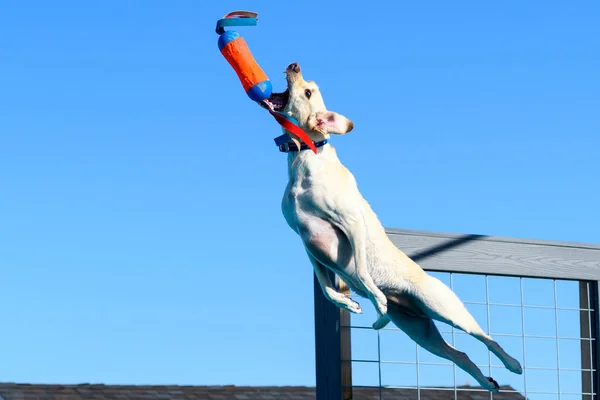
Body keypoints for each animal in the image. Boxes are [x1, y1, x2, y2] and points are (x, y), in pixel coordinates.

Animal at [264, 61, 524, 390]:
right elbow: (327, 289)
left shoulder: (351, 223)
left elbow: (362, 272)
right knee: (460, 355)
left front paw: (375, 297)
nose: (294, 65)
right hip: (419, 331)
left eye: (308, 91)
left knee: (486, 338)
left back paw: (513, 364)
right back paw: (487, 381)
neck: (306, 155)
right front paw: (350, 304)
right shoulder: (308, 245)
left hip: (445, 310)